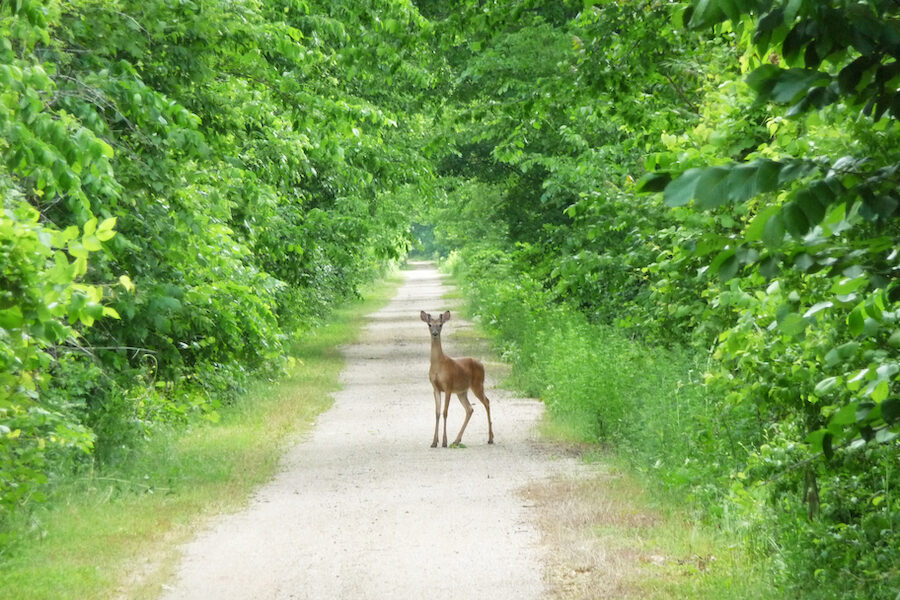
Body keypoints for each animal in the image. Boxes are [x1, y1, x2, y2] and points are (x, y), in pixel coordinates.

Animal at [420, 312, 496, 448]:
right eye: (429, 325)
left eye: (440, 324)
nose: (435, 333)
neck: (438, 365)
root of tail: (482, 364)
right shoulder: (435, 388)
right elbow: (437, 413)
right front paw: (434, 442)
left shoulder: (448, 386)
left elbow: (445, 412)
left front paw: (444, 441)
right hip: (462, 392)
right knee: (470, 409)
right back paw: (456, 440)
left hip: (478, 384)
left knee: (487, 402)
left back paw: (490, 438)